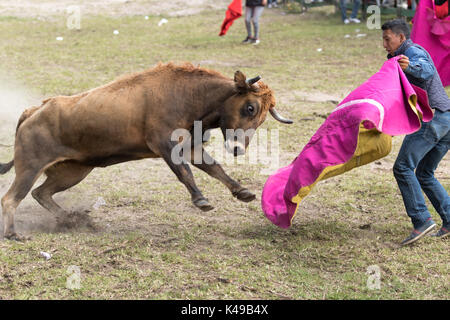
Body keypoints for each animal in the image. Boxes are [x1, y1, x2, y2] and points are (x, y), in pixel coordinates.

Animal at [0, 62, 292, 240]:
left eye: (261, 119)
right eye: (250, 107)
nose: (238, 149)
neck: (188, 95)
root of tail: (34, 110)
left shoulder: (191, 147)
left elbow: (214, 167)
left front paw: (242, 191)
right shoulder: (165, 145)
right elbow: (184, 173)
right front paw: (201, 200)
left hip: (72, 171)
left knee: (41, 193)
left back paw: (72, 219)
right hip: (30, 166)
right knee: (11, 198)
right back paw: (13, 234)